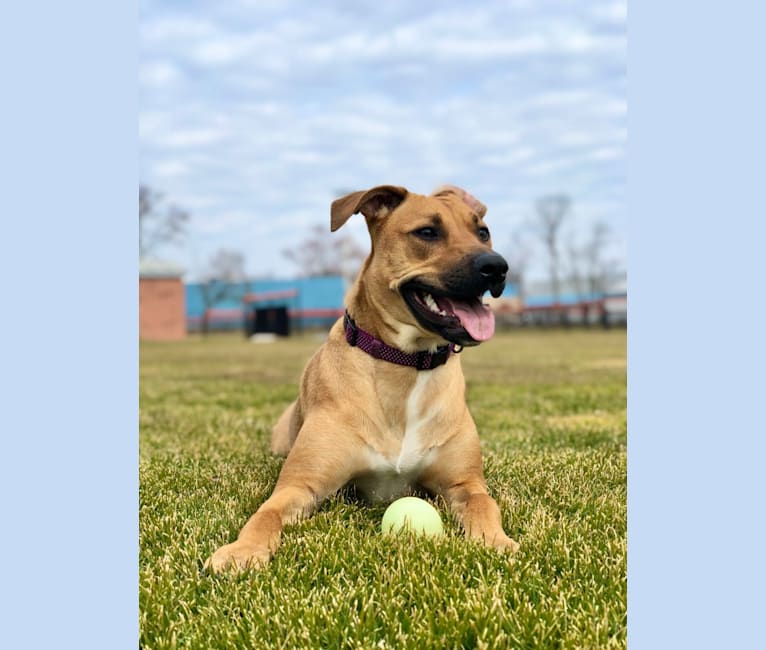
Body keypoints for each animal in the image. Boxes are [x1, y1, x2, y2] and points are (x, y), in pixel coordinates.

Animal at [207, 181, 520, 568]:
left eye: (483, 232)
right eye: (427, 232)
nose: (497, 267)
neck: (406, 363)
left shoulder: (465, 484)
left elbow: (484, 505)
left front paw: (497, 541)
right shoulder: (298, 486)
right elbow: (265, 514)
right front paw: (243, 550)